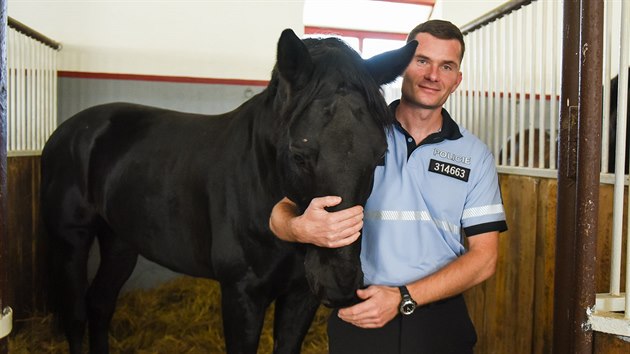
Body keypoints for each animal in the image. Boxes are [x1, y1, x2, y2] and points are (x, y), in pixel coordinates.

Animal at [38, 29, 414, 352]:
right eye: (299, 154)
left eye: (380, 155)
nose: (340, 283)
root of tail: (71, 130)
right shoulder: (241, 296)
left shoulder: (300, 296)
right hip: (72, 241)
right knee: (77, 316)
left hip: (120, 241)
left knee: (101, 304)